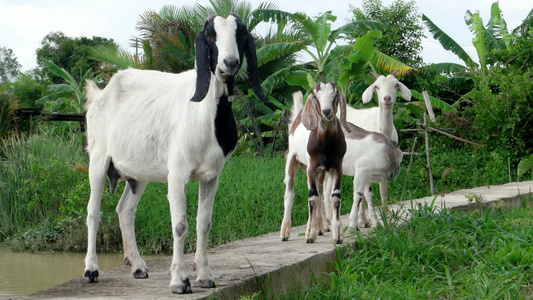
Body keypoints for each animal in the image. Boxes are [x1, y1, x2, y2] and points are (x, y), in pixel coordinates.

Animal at [82, 12, 266, 294]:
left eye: (242, 34)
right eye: (210, 36)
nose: (230, 63)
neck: (206, 114)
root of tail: (101, 94)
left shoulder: (212, 175)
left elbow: (204, 223)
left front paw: (205, 276)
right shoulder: (178, 173)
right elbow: (180, 225)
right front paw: (179, 280)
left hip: (139, 174)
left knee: (125, 210)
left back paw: (138, 266)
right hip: (98, 161)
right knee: (93, 212)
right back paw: (91, 269)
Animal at [280, 81, 352, 244]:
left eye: (334, 94)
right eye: (316, 96)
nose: (326, 111)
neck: (325, 144)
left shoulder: (336, 167)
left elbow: (334, 198)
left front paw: (337, 235)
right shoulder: (311, 168)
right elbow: (312, 198)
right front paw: (309, 236)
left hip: (321, 172)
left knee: (320, 193)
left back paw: (320, 227)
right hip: (292, 159)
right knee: (289, 194)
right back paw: (285, 232)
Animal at [336, 72, 412, 227]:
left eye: (396, 85)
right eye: (376, 87)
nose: (387, 98)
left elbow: (383, 190)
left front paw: (386, 217)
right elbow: (367, 193)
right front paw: (365, 221)